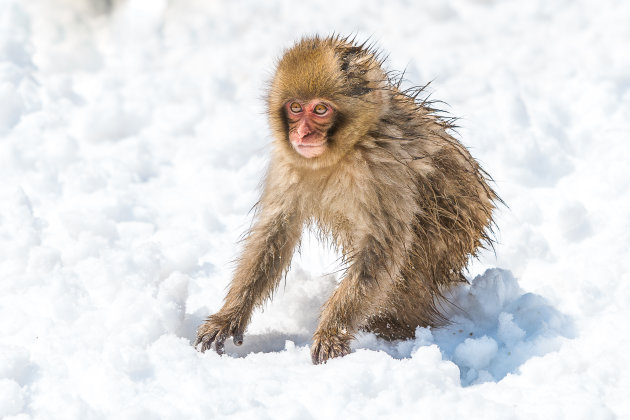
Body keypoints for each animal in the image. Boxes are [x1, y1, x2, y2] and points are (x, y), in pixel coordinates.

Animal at [195, 35, 502, 364]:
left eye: (320, 109)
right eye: (295, 107)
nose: (301, 134)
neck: (341, 154)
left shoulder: (380, 167)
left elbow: (381, 245)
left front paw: (333, 331)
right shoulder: (287, 164)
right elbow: (276, 231)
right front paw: (228, 316)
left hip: (456, 235)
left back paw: (395, 327)